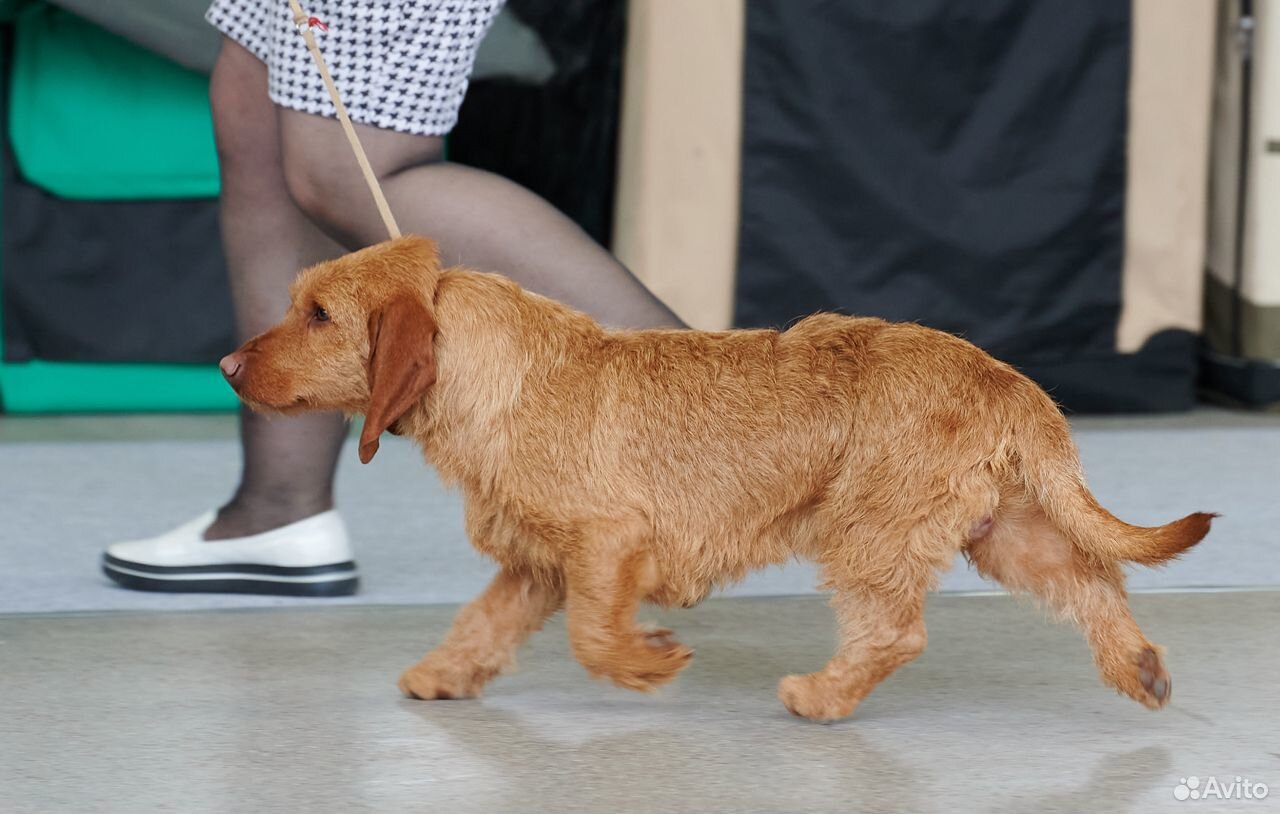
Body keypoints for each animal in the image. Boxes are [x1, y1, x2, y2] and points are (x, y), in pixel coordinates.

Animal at [220, 235, 1208, 716]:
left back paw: (820, 698)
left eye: (318, 313)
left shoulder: (606, 544)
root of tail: (1008, 381)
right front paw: (442, 676)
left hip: (871, 532)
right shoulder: (535, 563)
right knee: (1093, 581)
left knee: (896, 634)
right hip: (1008, 531)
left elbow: (593, 636)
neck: (506, 375)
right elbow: (484, 624)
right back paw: (1140, 669)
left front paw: (649, 662)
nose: (227, 364)